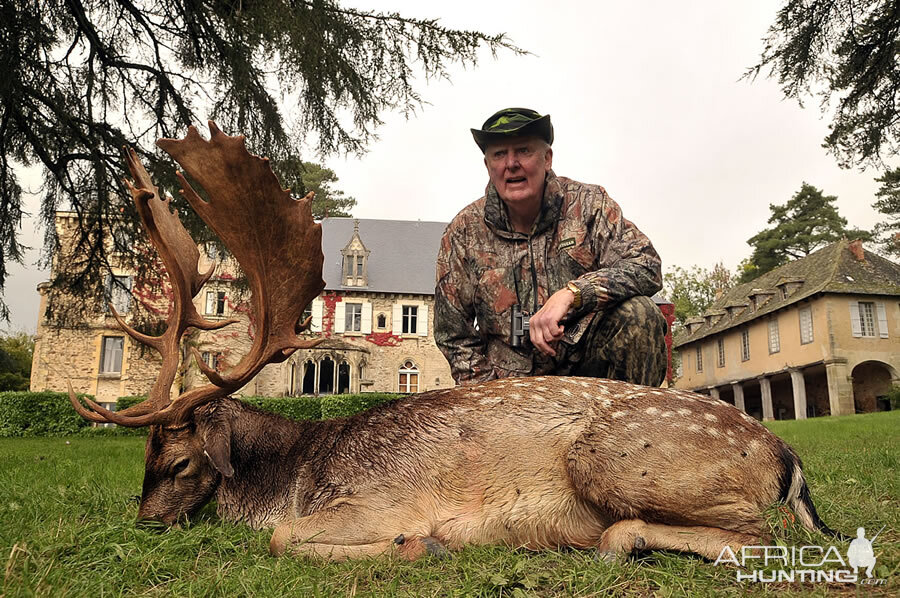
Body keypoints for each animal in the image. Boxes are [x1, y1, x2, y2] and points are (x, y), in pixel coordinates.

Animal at [68, 124, 836, 564]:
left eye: (178, 461)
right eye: (142, 458)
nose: (143, 527)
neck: (294, 475)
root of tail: (786, 454)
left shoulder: (372, 501)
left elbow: (288, 538)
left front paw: (423, 543)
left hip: (619, 459)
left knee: (764, 536)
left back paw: (616, 538)